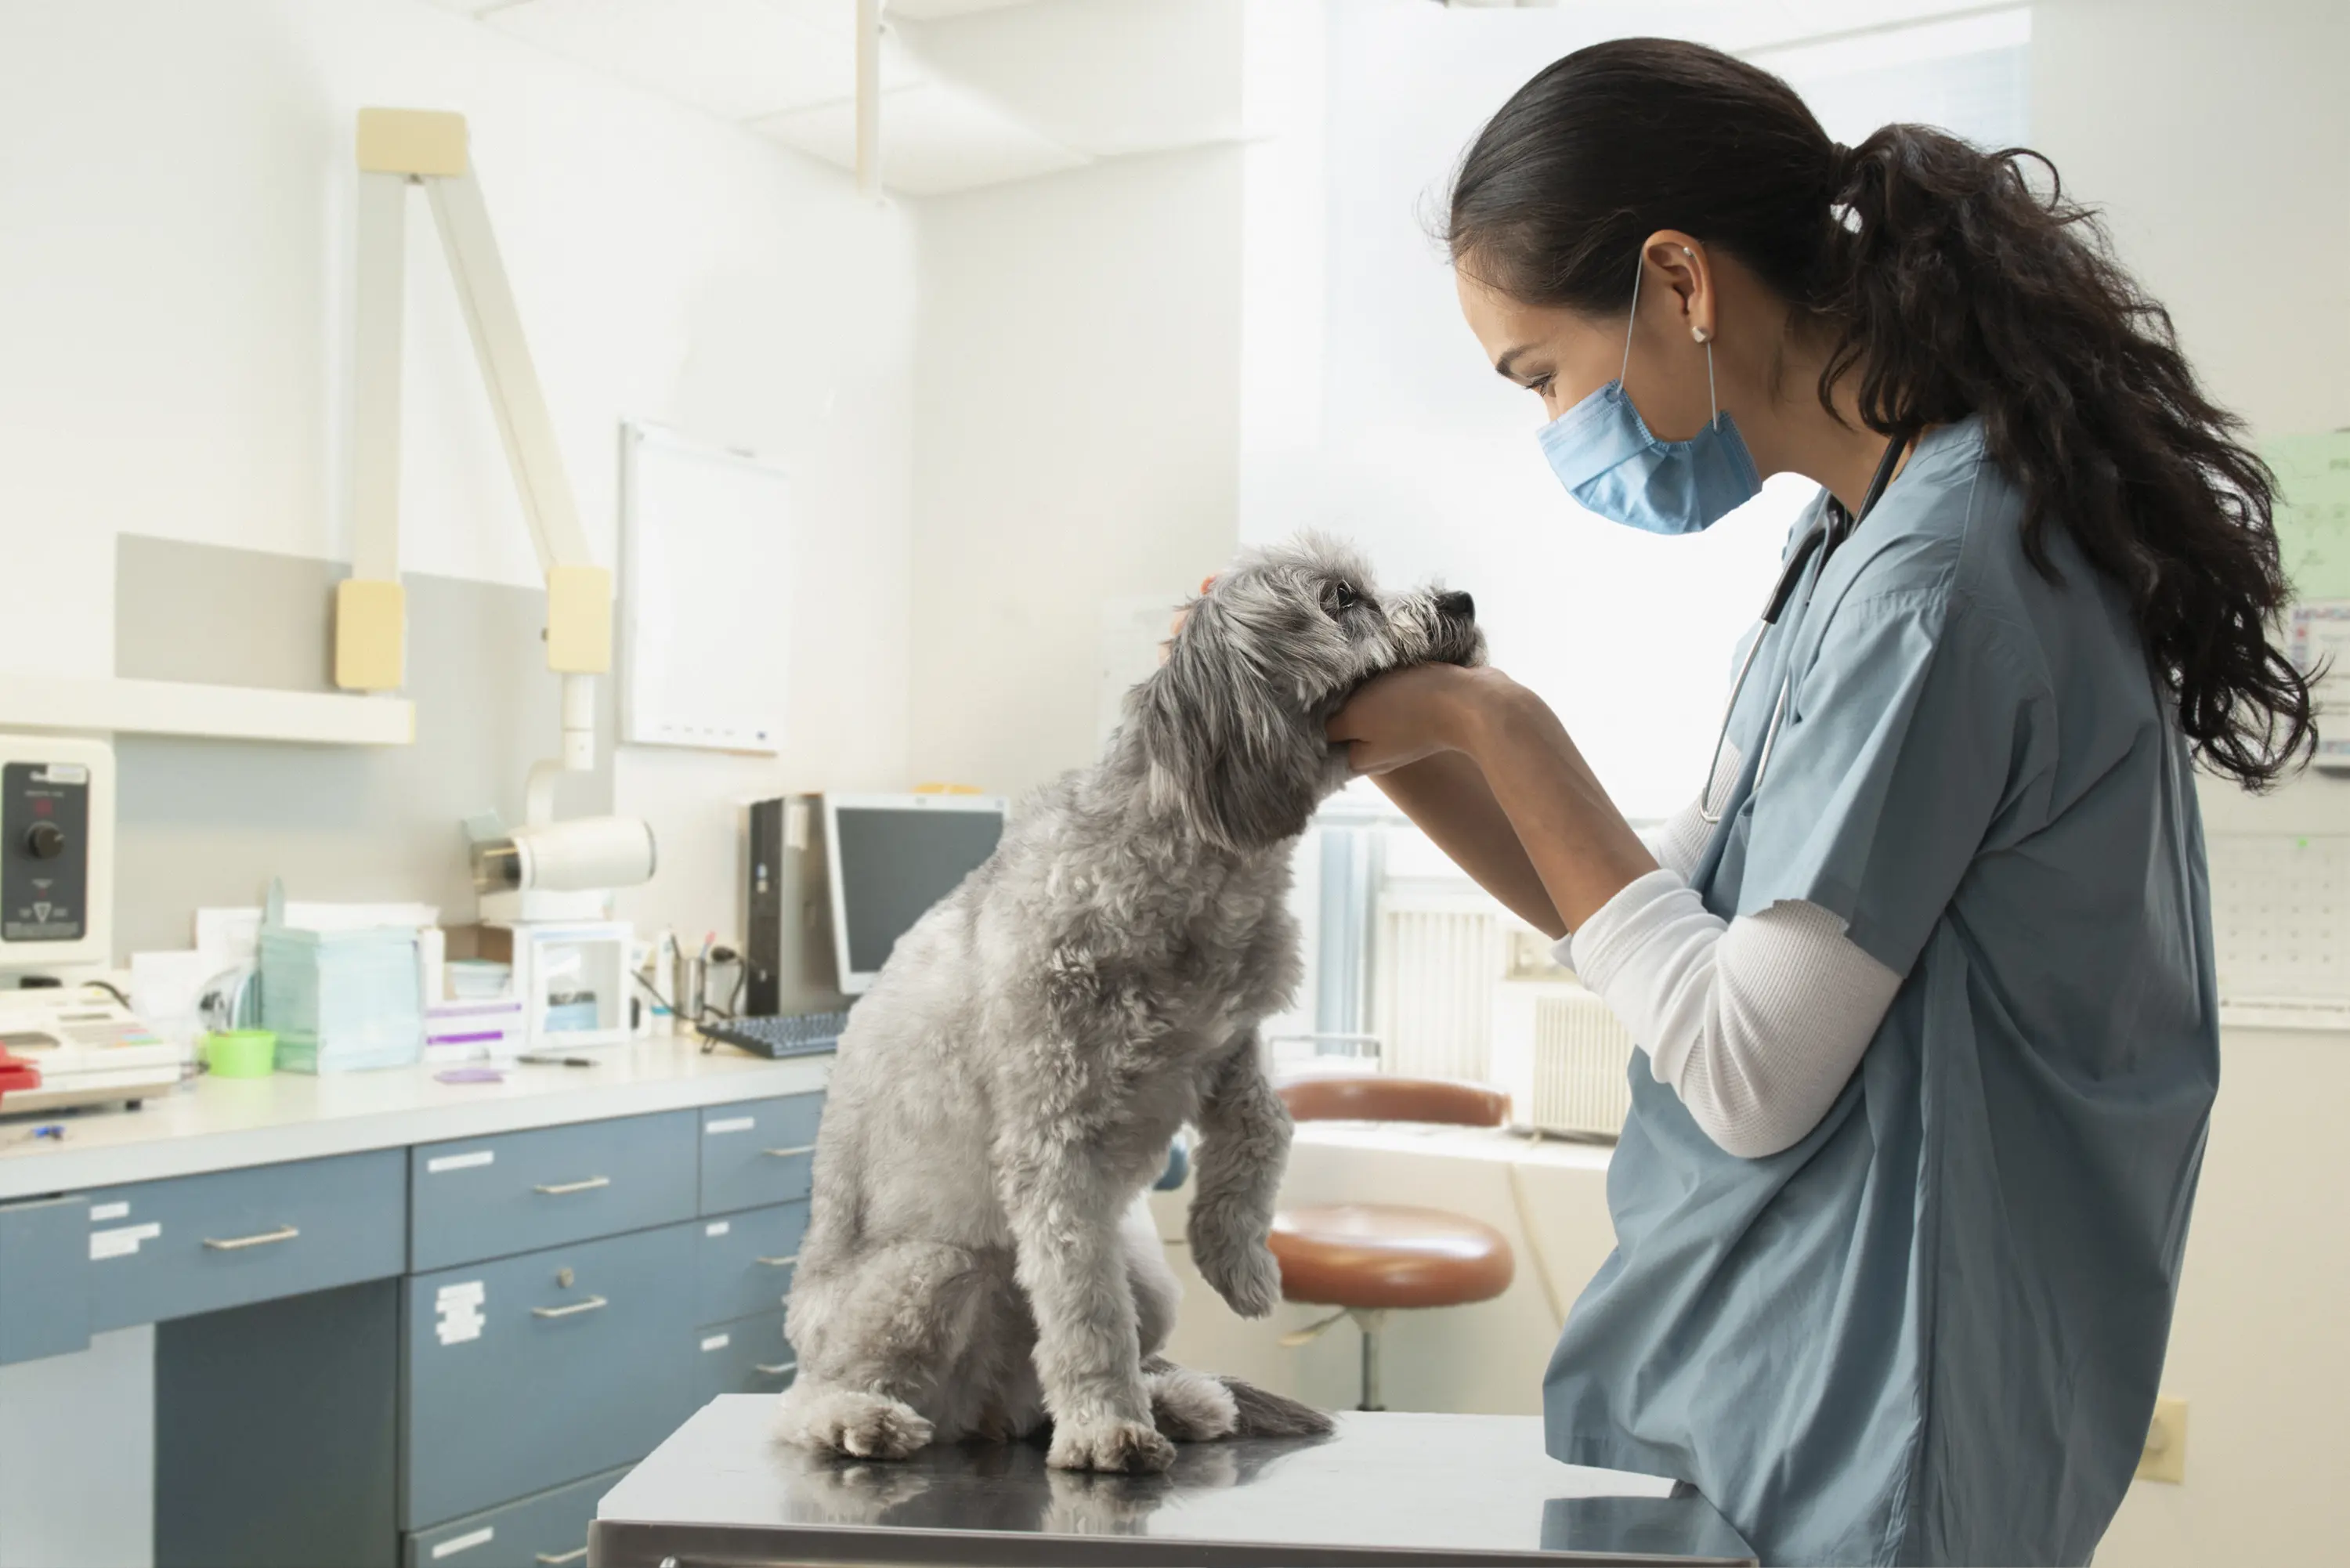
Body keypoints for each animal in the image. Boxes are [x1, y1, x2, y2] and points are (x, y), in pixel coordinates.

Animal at [780, 536, 1476, 1476]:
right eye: (1342, 598)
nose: (1464, 601)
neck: (1193, 859)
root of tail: (988, 1411)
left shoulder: (1229, 1046)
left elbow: (1268, 1128)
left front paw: (1240, 1260)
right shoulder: (1055, 1144)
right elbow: (1085, 1309)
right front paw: (1109, 1425)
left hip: (1147, 1279)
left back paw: (1180, 1398)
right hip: (930, 1268)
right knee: (811, 1400)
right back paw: (867, 1418)